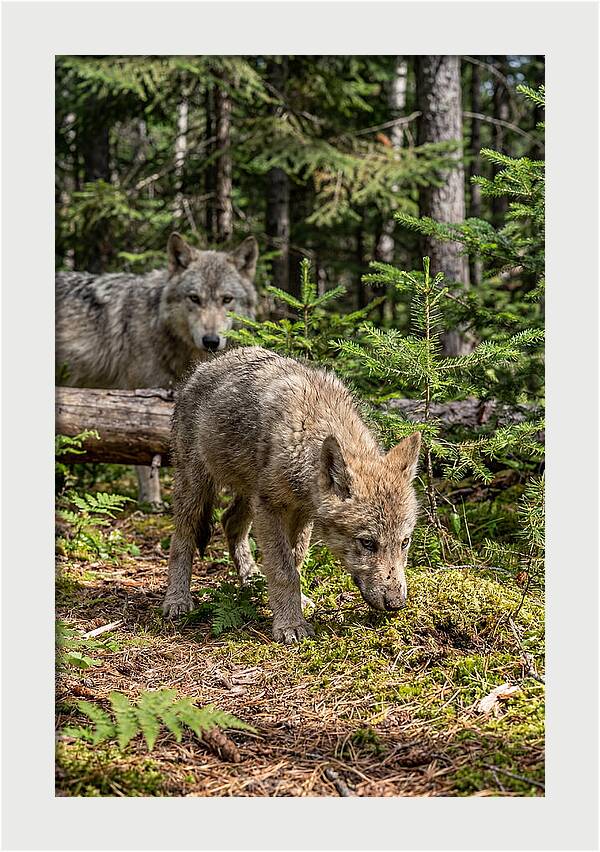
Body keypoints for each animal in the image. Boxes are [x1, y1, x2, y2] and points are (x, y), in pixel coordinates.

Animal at [55, 233, 259, 505]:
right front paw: (152, 502)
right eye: (194, 298)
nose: (211, 341)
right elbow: (144, 457)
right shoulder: (139, 399)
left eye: (227, 299)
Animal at [162, 347, 421, 643]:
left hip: (249, 495)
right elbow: (284, 570)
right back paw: (177, 600)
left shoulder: (302, 513)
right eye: (367, 543)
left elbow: (295, 561)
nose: (396, 603)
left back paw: (252, 580)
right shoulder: (271, 508)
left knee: (230, 522)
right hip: (197, 488)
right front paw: (290, 625)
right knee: (182, 538)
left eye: (405, 542)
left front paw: (294, 604)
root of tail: (201, 367)